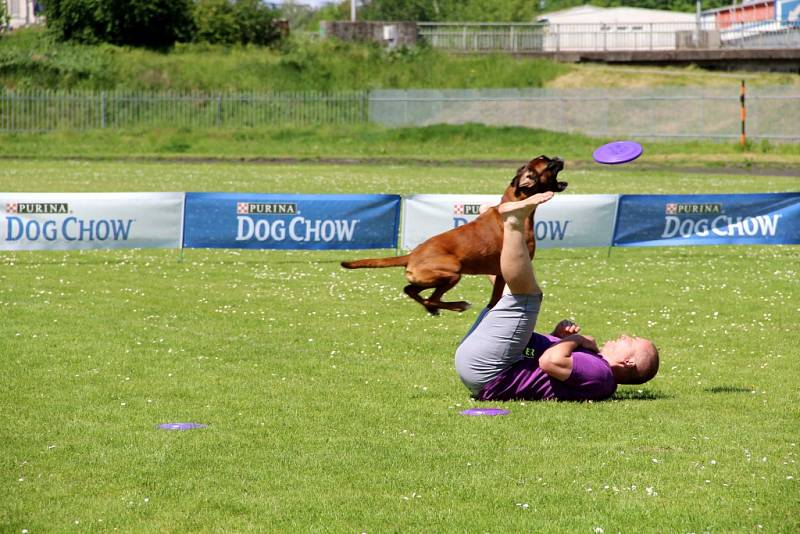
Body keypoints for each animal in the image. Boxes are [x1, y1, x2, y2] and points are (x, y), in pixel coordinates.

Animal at [340, 156, 564, 314]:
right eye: (548, 163)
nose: (559, 157)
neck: (515, 206)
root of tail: (411, 255)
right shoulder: (504, 273)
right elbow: (495, 300)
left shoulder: (499, 275)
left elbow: (494, 300)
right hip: (453, 272)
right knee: (432, 298)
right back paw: (457, 305)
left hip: (429, 279)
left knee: (412, 291)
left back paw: (432, 308)